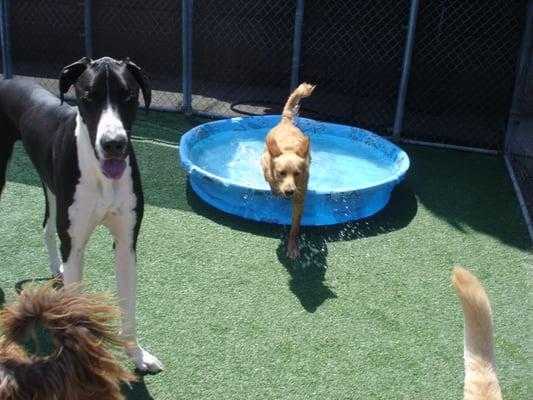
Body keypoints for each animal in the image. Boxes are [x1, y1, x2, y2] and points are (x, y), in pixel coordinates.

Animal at [260, 83, 314, 258]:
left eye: (297, 173)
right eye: (281, 173)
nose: (289, 191)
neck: (289, 150)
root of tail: (286, 122)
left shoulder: (300, 198)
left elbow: (295, 228)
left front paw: (292, 247)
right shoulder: (266, 166)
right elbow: (271, 181)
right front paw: (275, 190)